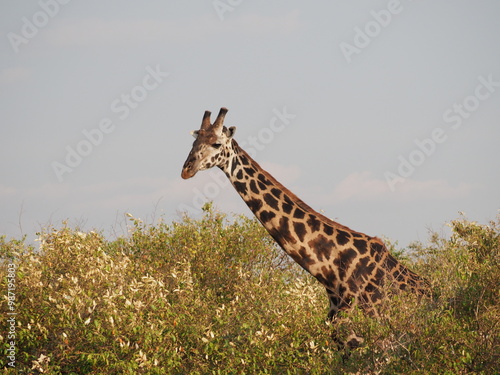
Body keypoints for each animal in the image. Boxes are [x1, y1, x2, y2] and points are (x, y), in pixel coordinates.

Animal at [180, 107, 430, 348]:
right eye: (194, 142)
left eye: (216, 143)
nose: (186, 170)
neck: (331, 272)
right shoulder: (343, 343)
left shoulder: (380, 340)